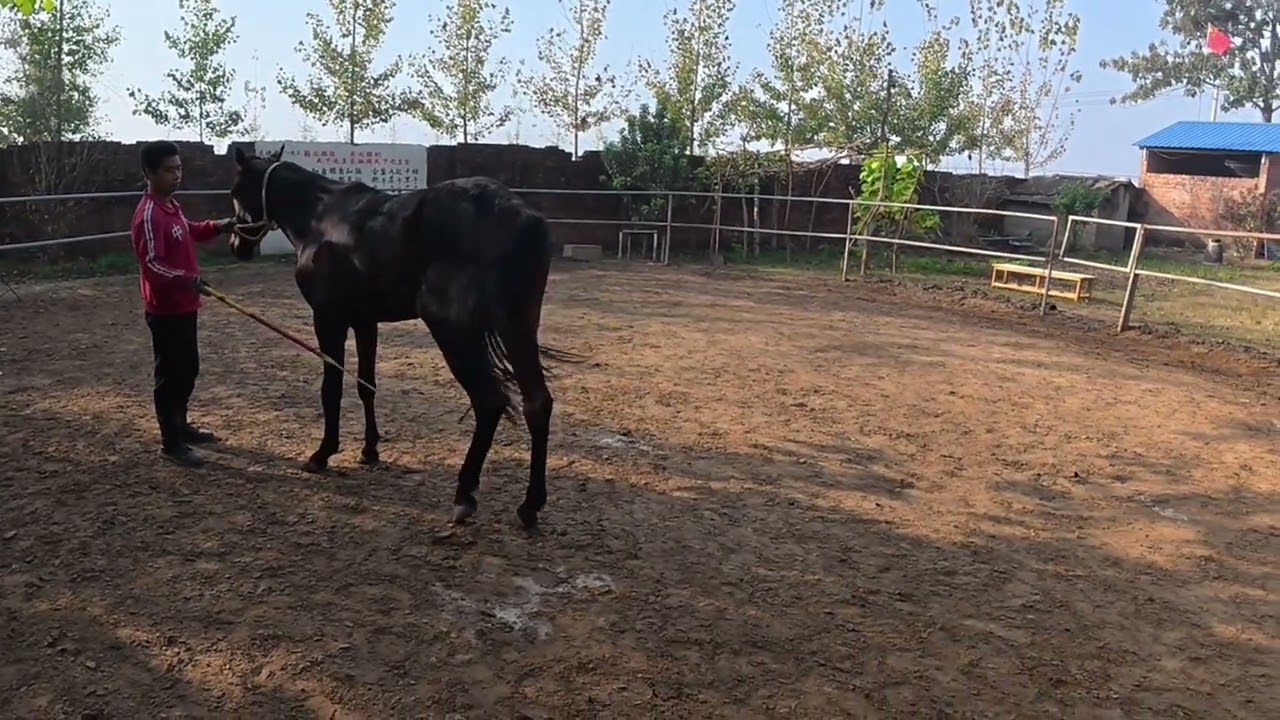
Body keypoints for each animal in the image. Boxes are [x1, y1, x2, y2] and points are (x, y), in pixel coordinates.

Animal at [225, 145, 579, 532]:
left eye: (235, 190)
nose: (236, 245)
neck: (323, 218)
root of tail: (521, 216)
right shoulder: (365, 321)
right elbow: (366, 385)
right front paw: (369, 450)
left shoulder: (328, 320)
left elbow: (331, 388)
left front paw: (322, 454)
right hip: (518, 326)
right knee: (537, 403)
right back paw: (529, 505)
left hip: (454, 331)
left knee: (489, 402)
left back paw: (464, 495)